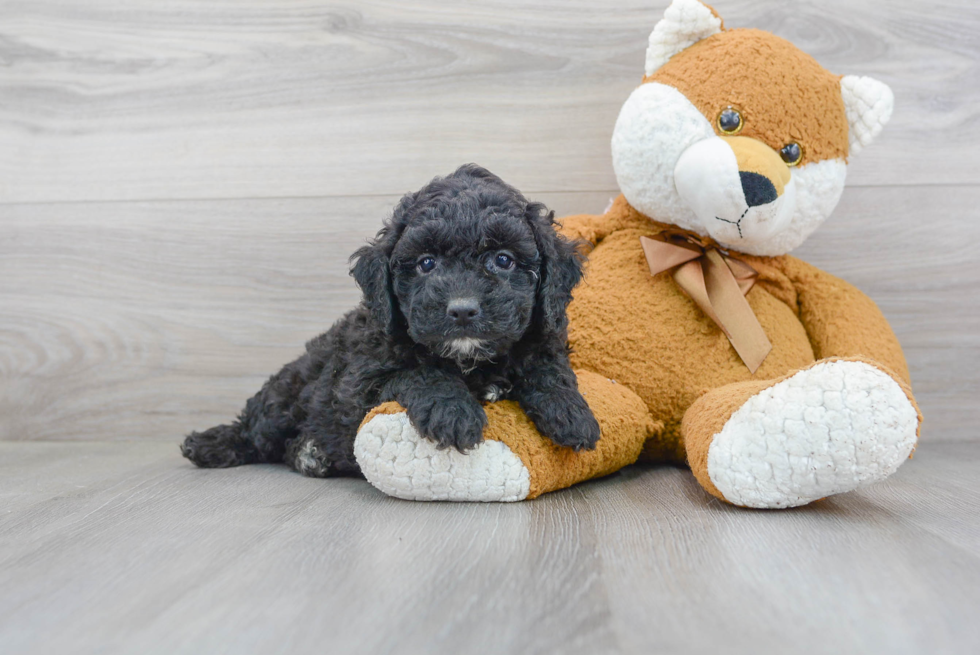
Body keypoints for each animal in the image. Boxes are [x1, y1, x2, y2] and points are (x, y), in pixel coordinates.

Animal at [180, 167, 600, 480]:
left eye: (503, 260)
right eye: (426, 263)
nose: (463, 310)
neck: (468, 361)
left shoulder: (542, 333)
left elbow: (549, 368)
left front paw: (572, 413)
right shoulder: (358, 383)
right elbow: (420, 373)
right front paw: (453, 414)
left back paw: (310, 454)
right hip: (284, 398)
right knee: (255, 430)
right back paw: (210, 445)